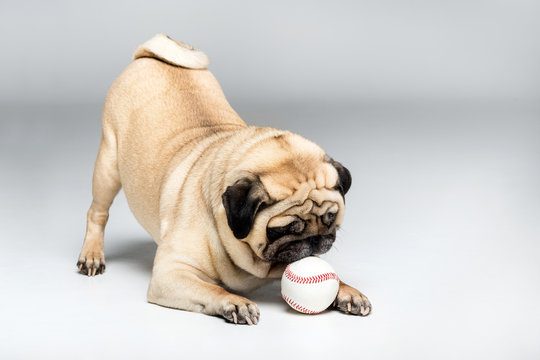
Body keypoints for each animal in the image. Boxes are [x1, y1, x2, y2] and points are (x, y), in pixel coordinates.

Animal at [77, 35, 372, 324]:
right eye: (283, 230)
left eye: (330, 218)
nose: (315, 240)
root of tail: (149, 55)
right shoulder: (170, 274)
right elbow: (211, 289)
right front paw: (235, 302)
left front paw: (346, 291)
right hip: (108, 166)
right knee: (97, 213)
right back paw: (91, 255)